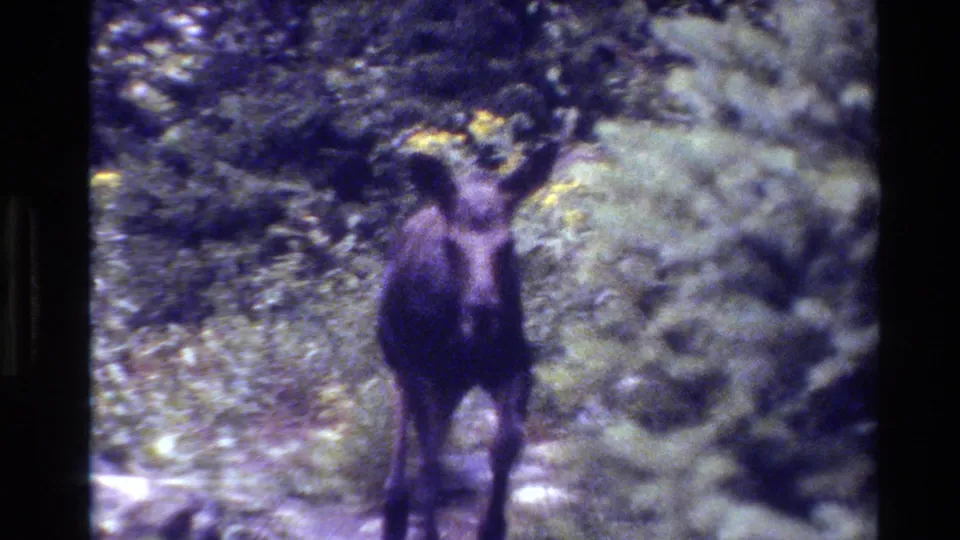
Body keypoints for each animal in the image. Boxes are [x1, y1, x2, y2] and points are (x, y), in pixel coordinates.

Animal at [377, 136, 561, 540]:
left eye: (507, 244)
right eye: (451, 244)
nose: (483, 310)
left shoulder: (515, 365)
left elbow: (506, 443)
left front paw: (492, 526)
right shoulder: (423, 372)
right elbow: (428, 459)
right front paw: (427, 530)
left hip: (451, 385)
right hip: (402, 364)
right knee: (406, 431)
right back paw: (395, 507)